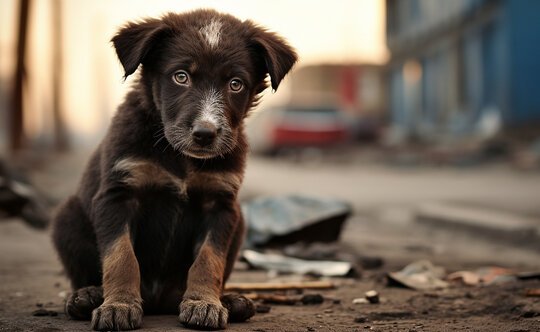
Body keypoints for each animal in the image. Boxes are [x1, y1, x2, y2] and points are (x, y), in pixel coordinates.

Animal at [52, 9, 298, 330]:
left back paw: (230, 301)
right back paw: (87, 296)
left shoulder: (220, 203)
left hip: (241, 221)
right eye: (181, 77)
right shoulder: (117, 194)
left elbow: (209, 259)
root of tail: (158, 300)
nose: (205, 134)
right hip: (67, 216)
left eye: (236, 83)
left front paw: (204, 303)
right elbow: (121, 256)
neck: (180, 158)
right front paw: (118, 305)